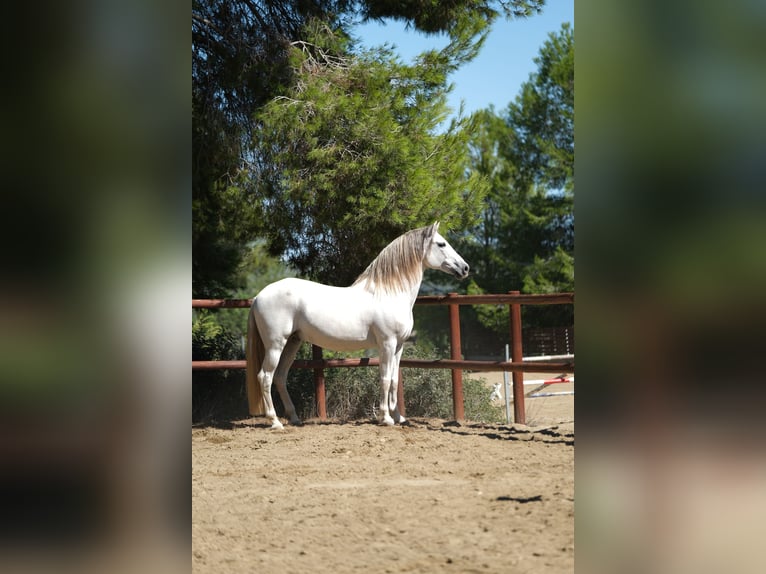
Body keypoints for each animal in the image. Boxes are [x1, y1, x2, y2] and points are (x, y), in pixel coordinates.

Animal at [249, 223, 472, 430]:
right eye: (441, 244)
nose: (465, 268)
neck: (389, 293)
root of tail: (259, 296)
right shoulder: (387, 344)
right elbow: (384, 378)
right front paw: (386, 418)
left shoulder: (399, 346)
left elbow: (394, 380)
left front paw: (399, 417)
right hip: (275, 345)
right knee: (265, 376)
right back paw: (275, 422)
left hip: (292, 343)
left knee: (279, 377)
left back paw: (294, 419)